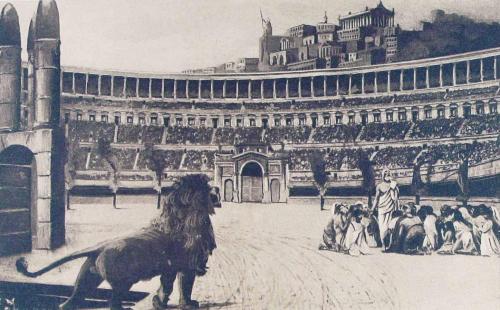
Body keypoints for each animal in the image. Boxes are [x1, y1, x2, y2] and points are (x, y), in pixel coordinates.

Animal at [15, 174, 221, 310]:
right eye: (208, 188)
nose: (217, 191)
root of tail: (99, 247)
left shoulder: (170, 268)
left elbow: (166, 286)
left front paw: (159, 303)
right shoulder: (189, 265)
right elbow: (185, 287)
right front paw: (189, 304)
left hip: (86, 280)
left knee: (69, 302)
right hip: (123, 282)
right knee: (113, 303)